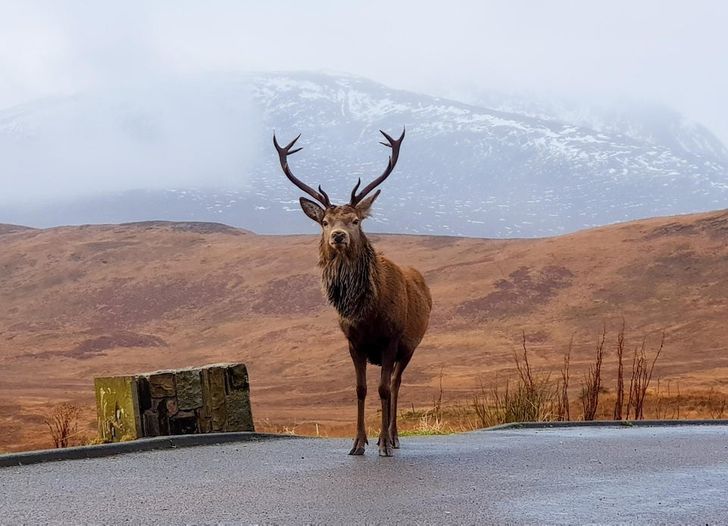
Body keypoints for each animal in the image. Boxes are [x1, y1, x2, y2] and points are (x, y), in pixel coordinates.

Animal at [272, 129, 432, 458]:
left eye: (355, 220)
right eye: (324, 222)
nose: (338, 236)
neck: (367, 314)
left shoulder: (391, 338)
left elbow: (383, 389)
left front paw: (383, 444)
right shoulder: (353, 342)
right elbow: (361, 389)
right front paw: (358, 443)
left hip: (411, 346)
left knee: (395, 384)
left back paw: (394, 437)